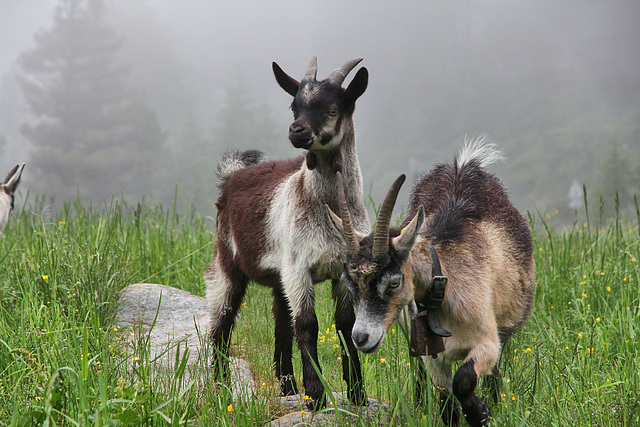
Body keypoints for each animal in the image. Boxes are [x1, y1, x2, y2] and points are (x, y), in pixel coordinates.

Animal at [206, 56, 370, 408]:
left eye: (333, 109)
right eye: (294, 106)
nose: (297, 131)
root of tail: (232, 176)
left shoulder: (344, 270)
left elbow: (345, 325)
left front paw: (357, 393)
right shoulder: (298, 267)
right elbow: (307, 324)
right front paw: (317, 394)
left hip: (277, 275)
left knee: (281, 324)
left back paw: (288, 387)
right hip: (227, 261)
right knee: (221, 324)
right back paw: (221, 389)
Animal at [330, 139, 536, 426]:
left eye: (393, 283)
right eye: (349, 283)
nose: (360, 338)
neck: (443, 290)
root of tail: (462, 166)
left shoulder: (487, 341)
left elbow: (464, 380)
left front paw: (481, 412)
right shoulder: (434, 357)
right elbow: (446, 404)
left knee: (494, 373)